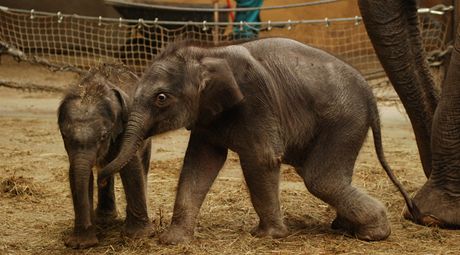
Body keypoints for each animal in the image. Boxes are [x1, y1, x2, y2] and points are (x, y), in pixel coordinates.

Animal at [58, 64, 152, 249]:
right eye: (64, 135)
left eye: (103, 136)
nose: (88, 223)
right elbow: (77, 174)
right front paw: (81, 243)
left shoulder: (127, 125)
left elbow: (131, 167)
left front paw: (138, 237)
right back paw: (105, 219)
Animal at [99, 37, 416, 243]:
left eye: (161, 98)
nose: (100, 175)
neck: (206, 54)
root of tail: (371, 95)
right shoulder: (207, 115)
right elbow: (199, 163)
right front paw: (173, 240)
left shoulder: (255, 103)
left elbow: (261, 159)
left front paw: (268, 237)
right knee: (329, 177)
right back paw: (344, 227)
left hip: (343, 121)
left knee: (320, 179)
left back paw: (373, 234)